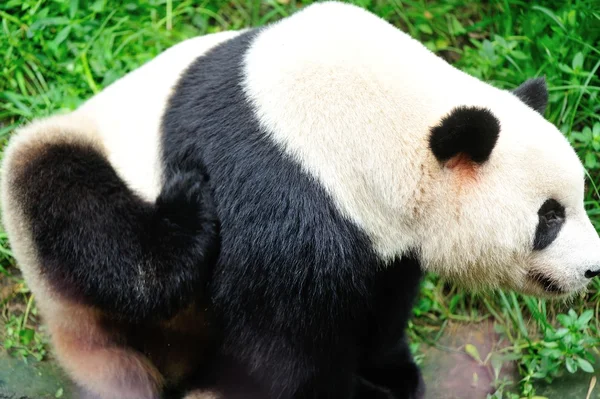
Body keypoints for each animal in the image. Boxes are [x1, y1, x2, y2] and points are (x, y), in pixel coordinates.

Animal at [1, 3, 600, 399]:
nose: (593, 269)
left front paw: (392, 374)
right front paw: (359, 394)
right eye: (549, 217)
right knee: (90, 225)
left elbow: (384, 301)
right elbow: (283, 348)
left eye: (579, 199)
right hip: (74, 169)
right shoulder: (280, 188)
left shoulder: (380, 228)